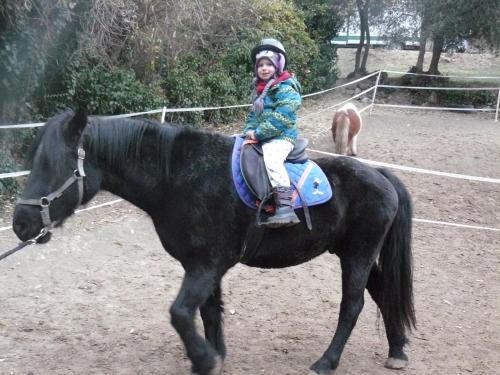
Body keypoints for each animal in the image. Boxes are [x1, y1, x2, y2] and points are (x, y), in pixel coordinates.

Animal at [13, 109, 416, 375]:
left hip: (357, 256)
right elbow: (208, 311)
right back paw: (397, 350)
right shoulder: (203, 266)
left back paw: (326, 362)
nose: (20, 224)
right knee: (384, 292)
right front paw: (213, 354)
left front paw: (205, 359)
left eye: (54, 164)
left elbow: (180, 313)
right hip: (356, 254)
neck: (178, 176)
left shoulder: (206, 264)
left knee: (353, 306)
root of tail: (380, 175)